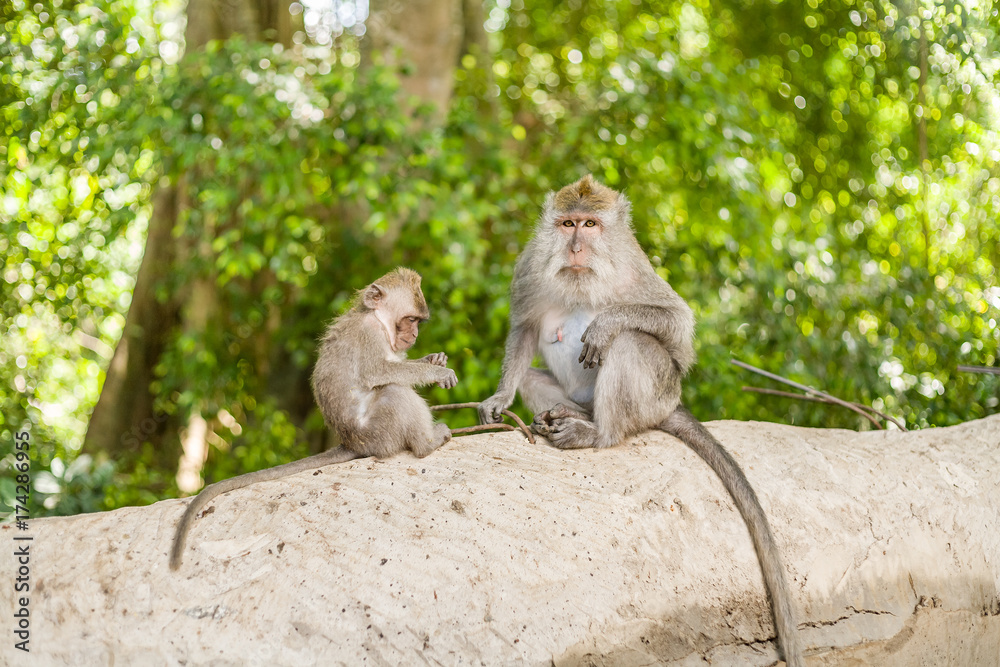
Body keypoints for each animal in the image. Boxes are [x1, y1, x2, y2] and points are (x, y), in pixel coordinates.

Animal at [170, 268, 457, 570]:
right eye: (411, 319)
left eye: (419, 322)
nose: (414, 333)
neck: (377, 318)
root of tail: (352, 443)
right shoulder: (369, 334)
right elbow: (379, 372)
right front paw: (437, 372)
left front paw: (434, 359)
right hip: (380, 432)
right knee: (394, 391)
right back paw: (427, 443)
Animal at [478, 176, 804, 666]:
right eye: (567, 223)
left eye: (591, 225)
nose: (576, 247)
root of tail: (670, 405)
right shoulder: (531, 266)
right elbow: (525, 329)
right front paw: (500, 397)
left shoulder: (634, 267)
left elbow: (676, 326)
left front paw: (607, 322)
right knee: (535, 379)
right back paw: (573, 414)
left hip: (657, 394)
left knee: (631, 343)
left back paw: (598, 433)